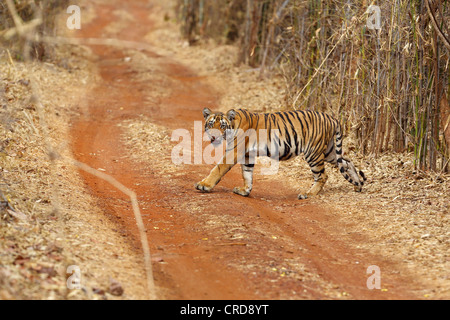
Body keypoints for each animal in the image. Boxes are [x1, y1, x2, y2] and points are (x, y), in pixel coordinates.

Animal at [193, 107, 366, 199]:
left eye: (222, 126)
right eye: (210, 124)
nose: (213, 137)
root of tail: (332, 118)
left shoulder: (234, 152)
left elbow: (217, 169)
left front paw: (204, 185)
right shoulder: (248, 155)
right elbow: (247, 174)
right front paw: (245, 191)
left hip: (313, 152)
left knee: (323, 175)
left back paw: (308, 194)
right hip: (329, 151)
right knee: (347, 162)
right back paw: (357, 185)